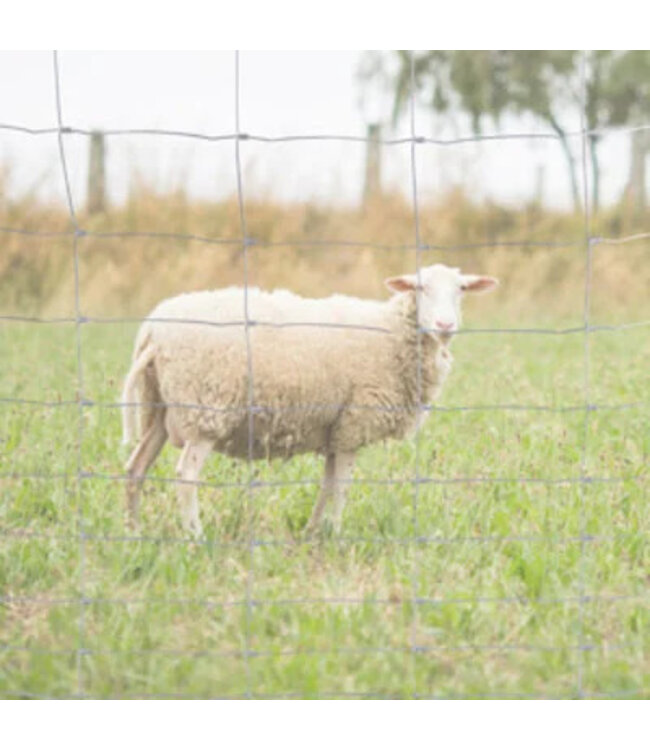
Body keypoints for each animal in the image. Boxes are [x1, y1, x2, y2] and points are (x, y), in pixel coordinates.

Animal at [121, 264, 498, 537]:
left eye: (461, 289)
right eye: (420, 288)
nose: (445, 324)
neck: (393, 331)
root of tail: (152, 330)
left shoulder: (337, 428)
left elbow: (327, 485)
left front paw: (313, 532)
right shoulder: (355, 423)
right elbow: (342, 487)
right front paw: (337, 533)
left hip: (159, 408)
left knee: (135, 468)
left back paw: (135, 532)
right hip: (205, 410)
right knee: (185, 476)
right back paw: (194, 536)